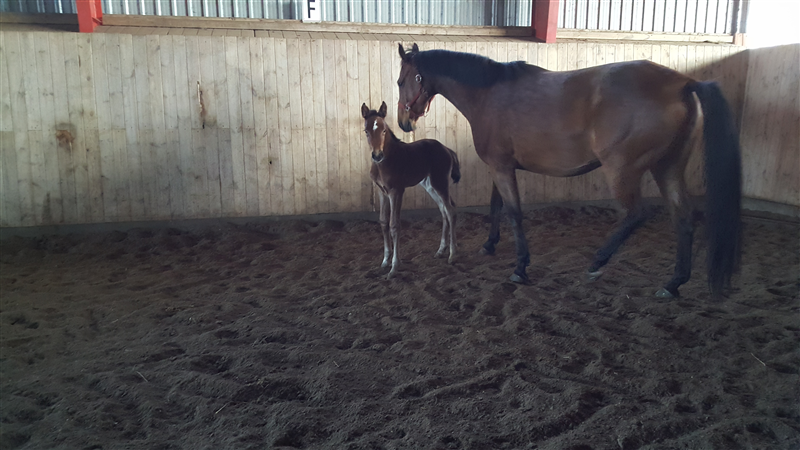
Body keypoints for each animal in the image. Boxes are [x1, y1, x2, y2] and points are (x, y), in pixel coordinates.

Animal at [362, 101, 462, 282]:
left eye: (384, 130)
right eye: (366, 131)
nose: (377, 155)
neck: (386, 161)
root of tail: (446, 149)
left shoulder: (396, 192)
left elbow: (394, 225)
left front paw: (394, 267)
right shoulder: (382, 192)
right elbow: (383, 222)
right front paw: (385, 261)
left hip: (440, 183)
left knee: (450, 210)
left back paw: (452, 254)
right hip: (429, 186)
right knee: (444, 210)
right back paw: (441, 250)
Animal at [396, 44, 740, 298]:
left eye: (402, 81)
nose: (404, 123)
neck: (489, 94)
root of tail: (682, 83)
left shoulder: (502, 168)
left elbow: (514, 213)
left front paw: (520, 268)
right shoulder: (499, 166)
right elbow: (496, 206)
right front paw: (489, 245)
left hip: (622, 171)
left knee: (637, 214)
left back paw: (597, 262)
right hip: (667, 168)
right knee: (683, 218)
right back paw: (673, 284)